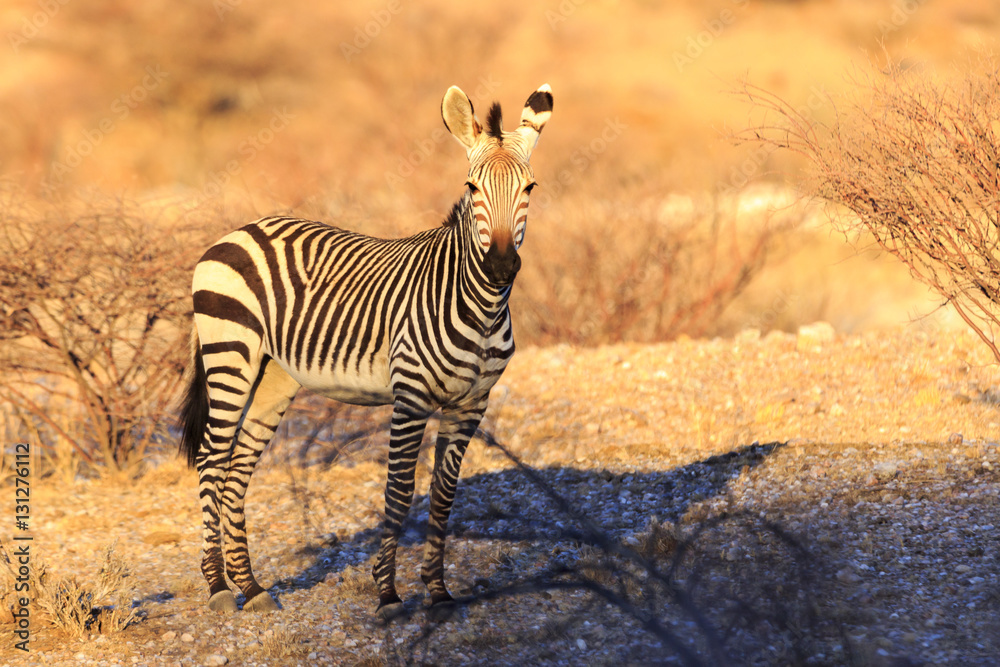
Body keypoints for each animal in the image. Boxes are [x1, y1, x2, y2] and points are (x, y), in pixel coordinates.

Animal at [178, 84, 553, 619]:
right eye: (472, 187)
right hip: (230, 353)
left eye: (530, 188)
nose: (500, 267)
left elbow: (443, 495)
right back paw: (217, 586)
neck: (478, 305)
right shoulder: (411, 397)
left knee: (238, 467)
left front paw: (438, 591)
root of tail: (238, 231)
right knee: (212, 458)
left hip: (275, 374)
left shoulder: (470, 404)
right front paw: (388, 593)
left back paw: (251, 586)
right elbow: (399, 491)